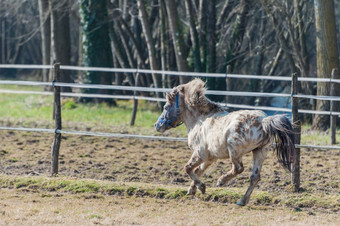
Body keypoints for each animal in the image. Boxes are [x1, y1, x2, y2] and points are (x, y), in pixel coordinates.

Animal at [154, 78, 294, 206]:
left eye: (166, 107)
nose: (157, 125)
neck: (199, 120)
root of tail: (263, 120)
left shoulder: (199, 154)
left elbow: (188, 168)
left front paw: (201, 187)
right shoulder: (210, 158)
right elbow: (198, 171)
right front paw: (192, 189)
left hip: (235, 151)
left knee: (238, 168)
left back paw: (222, 181)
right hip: (260, 151)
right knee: (254, 177)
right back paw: (242, 201)